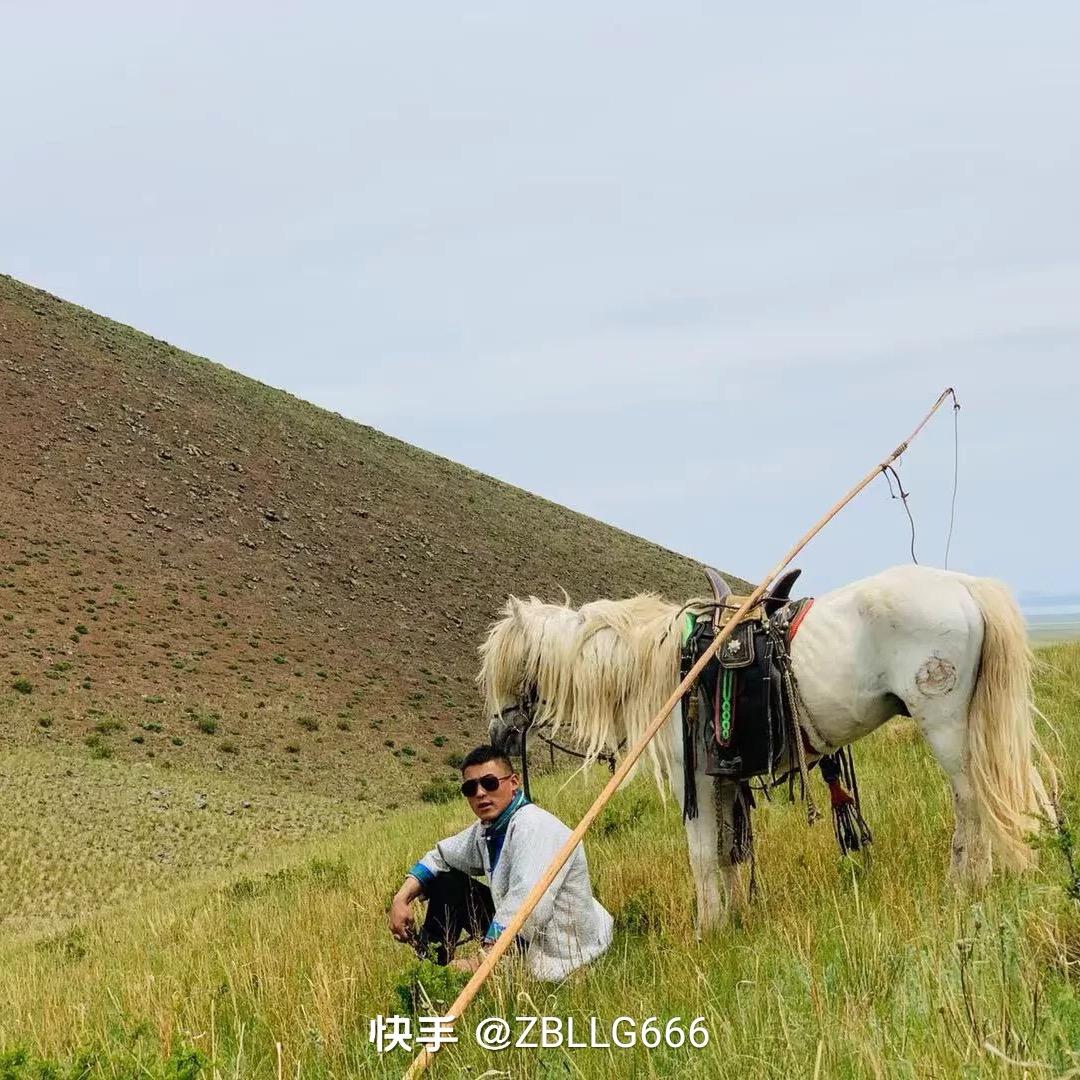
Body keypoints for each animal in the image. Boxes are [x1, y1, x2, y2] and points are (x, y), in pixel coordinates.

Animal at [480, 564, 1055, 932]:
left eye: (506, 668)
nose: (498, 735)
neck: (667, 668)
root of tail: (963, 585)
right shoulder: (724, 779)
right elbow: (728, 851)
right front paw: (737, 919)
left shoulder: (697, 782)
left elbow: (702, 856)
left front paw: (709, 929)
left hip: (944, 724)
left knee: (970, 801)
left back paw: (964, 882)